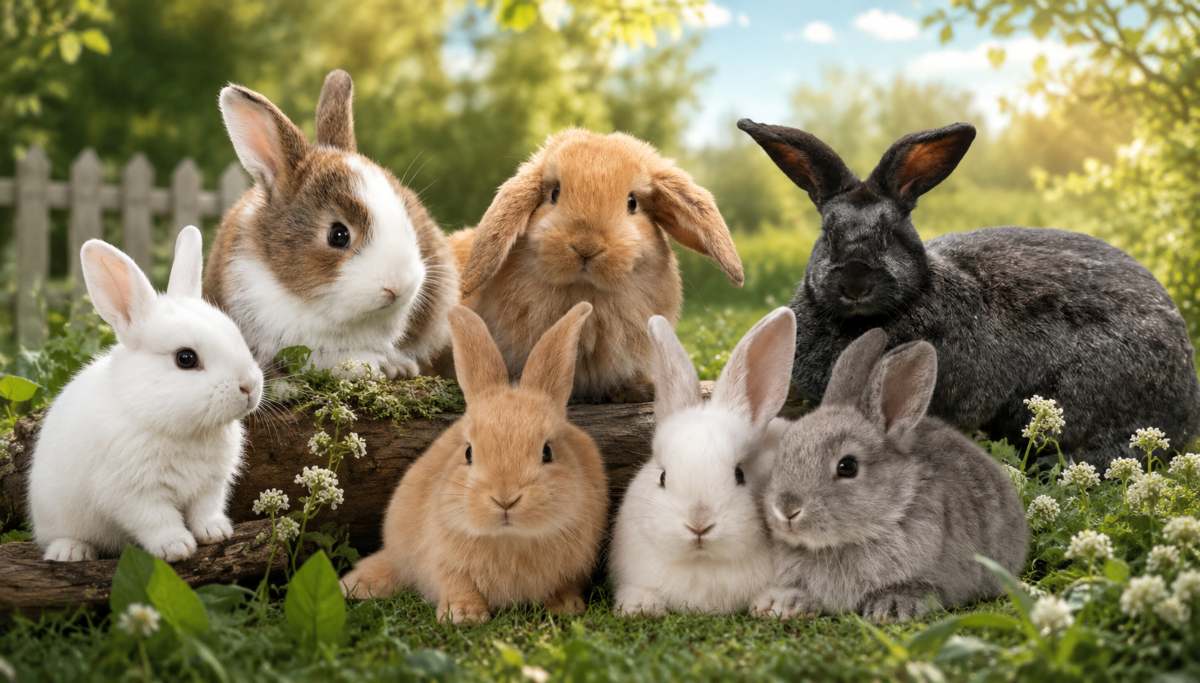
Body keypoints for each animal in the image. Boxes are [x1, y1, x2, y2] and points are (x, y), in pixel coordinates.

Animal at [28, 226, 263, 562]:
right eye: (186, 358)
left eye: (235, 334)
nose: (249, 386)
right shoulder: (135, 494)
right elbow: (157, 520)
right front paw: (177, 547)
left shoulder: (210, 485)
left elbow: (205, 510)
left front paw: (215, 532)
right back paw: (71, 552)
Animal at [339, 302, 609, 624]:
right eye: (468, 452)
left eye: (547, 452)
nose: (505, 499)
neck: (509, 538)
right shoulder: (444, 559)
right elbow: (456, 583)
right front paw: (464, 615)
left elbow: (564, 585)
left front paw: (566, 607)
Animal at [609, 307, 796, 615]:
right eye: (662, 477)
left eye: (740, 474)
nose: (699, 524)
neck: (703, 563)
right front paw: (641, 607)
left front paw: (773, 606)